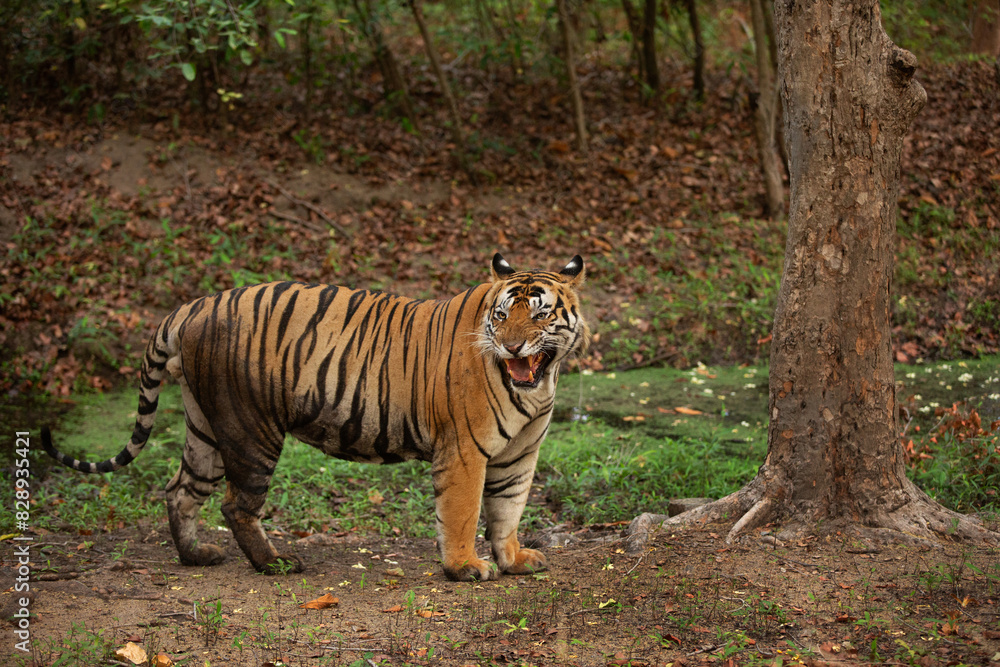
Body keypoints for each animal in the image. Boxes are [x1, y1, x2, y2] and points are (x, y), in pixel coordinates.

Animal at [43, 253, 588, 581]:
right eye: (501, 315)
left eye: (539, 314)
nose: (511, 346)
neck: (538, 383)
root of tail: (192, 306)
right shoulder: (464, 450)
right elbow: (463, 513)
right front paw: (464, 568)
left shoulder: (519, 455)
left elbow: (508, 510)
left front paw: (514, 559)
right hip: (250, 429)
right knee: (236, 505)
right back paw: (275, 563)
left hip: (204, 427)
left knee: (180, 490)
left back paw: (196, 556)